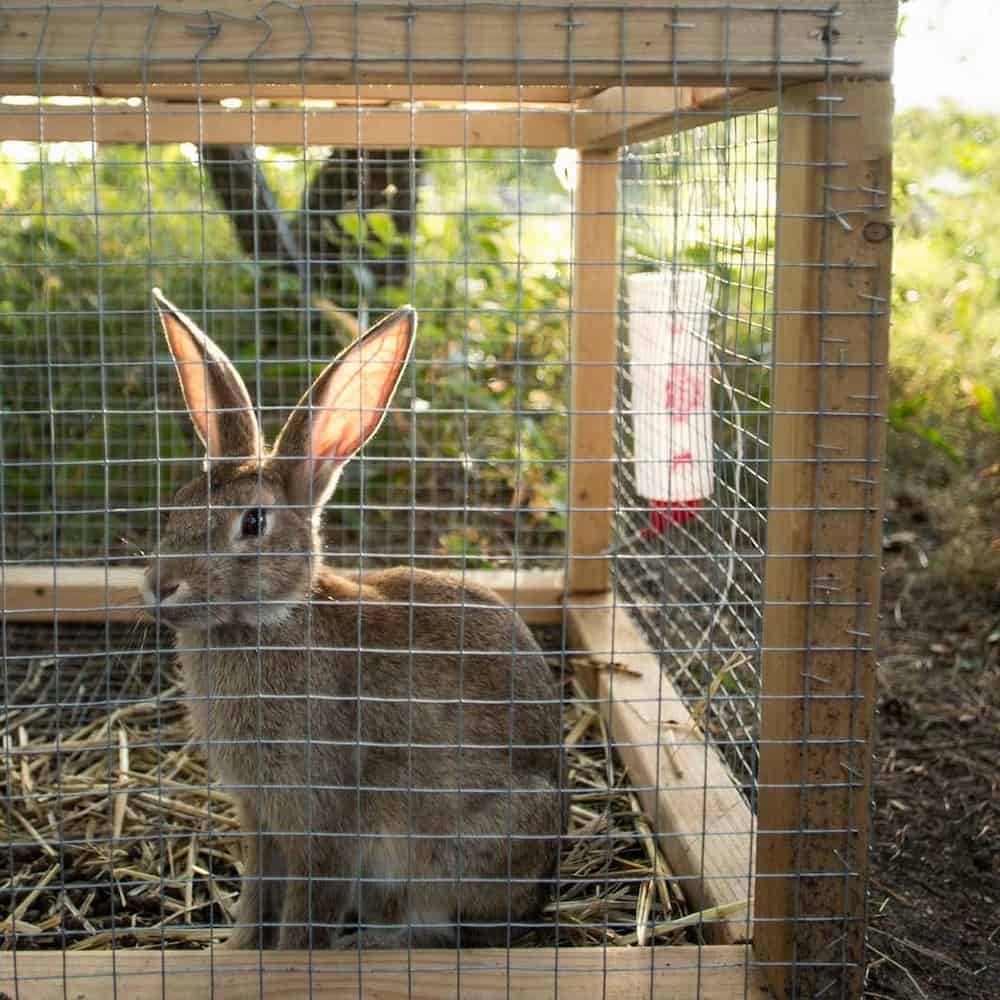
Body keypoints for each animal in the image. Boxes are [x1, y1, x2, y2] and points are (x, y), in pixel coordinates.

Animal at [142, 292, 568, 952]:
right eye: (177, 506)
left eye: (253, 522)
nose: (160, 585)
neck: (270, 623)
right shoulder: (260, 821)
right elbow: (255, 896)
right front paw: (234, 951)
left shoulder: (325, 824)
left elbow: (305, 914)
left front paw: (290, 958)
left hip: (456, 851)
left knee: (434, 928)